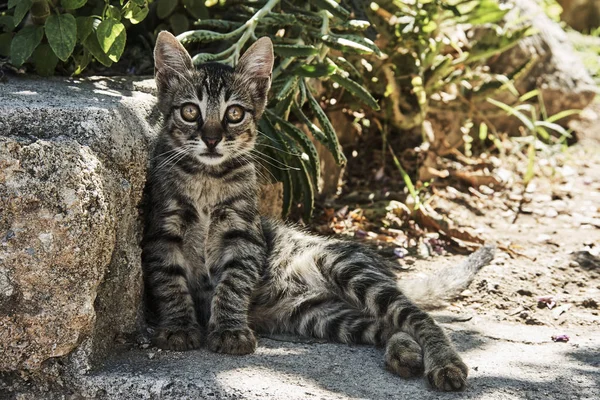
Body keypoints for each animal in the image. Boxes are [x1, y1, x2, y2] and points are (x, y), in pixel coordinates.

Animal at [143, 30, 494, 390]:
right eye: (190, 111)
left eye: (235, 114)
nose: (212, 139)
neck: (207, 178)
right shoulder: (162, 231)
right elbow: (170, 281)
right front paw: (179, 327)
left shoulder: (245, 236)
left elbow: (233, 282)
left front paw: (229, 330)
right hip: (319, 315)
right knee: (385, 325)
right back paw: (405, 353)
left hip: (348, 268)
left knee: (418, 317)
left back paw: (445, 363)